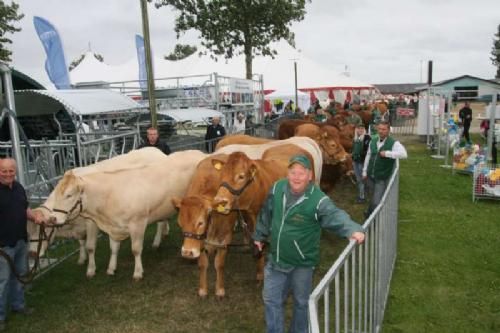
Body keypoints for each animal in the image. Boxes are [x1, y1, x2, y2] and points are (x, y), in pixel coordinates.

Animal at [35, 149, 205, 278]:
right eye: (56, 192)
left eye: (69, 195)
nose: (54, 217)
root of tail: (198, 152)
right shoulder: (114, 226)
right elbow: (113, 248)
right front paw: (111, 268)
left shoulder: (137, 223)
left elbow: (136, 249)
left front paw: (137, 273)